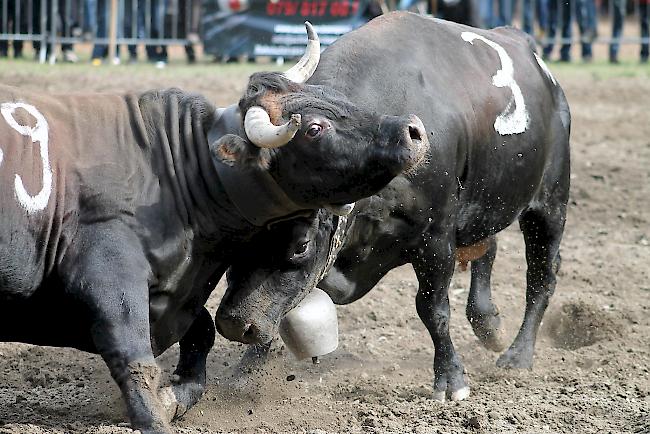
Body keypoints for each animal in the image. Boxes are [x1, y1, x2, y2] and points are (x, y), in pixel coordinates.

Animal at [0, 36, 428, 430]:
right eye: (313, 129)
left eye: (330, 97)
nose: (412, 130)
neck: (172, 174)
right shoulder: (108, 274)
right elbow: (131, 352)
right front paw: (153, 417)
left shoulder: (176, 295)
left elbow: (202, 330)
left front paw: (175, 396)